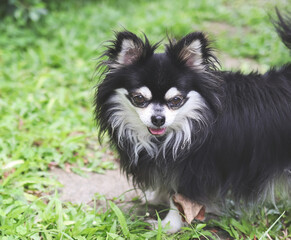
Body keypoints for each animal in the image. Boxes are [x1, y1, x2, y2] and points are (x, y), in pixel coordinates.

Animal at [94, 9, 290, 232]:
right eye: (139, 98)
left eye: (176, 100)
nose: (158, 119)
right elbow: (165, 183)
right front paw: (155, 197)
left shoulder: (194, 170)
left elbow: (178, 199)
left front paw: (167, 226)